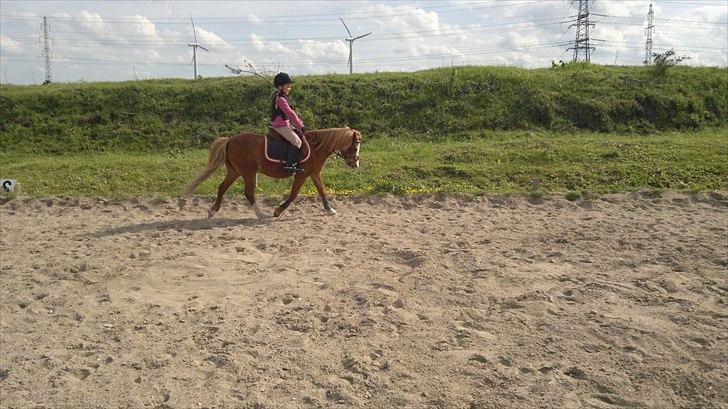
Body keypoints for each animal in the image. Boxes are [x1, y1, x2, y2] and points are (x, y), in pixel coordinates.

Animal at [182, 126, 362, 217]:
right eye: (354, 146)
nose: (355, 164)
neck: (316, 147)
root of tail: (230, 140)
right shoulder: (302, 174)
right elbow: (293, 194)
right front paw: (278, 210)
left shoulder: (314, 173)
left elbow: (322, 191)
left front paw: (330, 210)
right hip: (248, 172)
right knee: (248, 192)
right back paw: (261, 214)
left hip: (235, 171)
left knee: (222, 187)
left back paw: (213, 210)